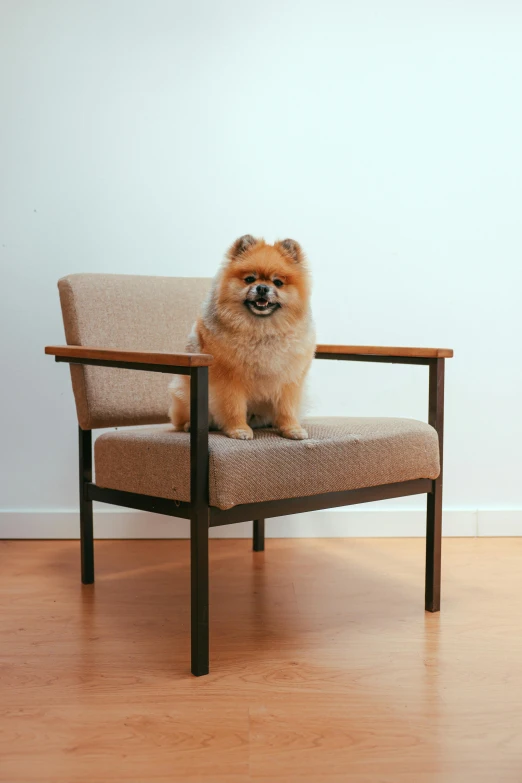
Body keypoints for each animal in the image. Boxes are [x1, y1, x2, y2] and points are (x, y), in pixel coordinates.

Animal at [169, 233, 314, 440]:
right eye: (249, 279)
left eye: (278, 282)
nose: (262, 288)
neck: (261, 329)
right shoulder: (229, 378)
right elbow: (233, 406)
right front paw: (239, 429)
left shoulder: (289, 379)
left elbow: (288, 408)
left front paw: (292, 428)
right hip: (184, 394)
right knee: (181, 420)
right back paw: (192, 425)